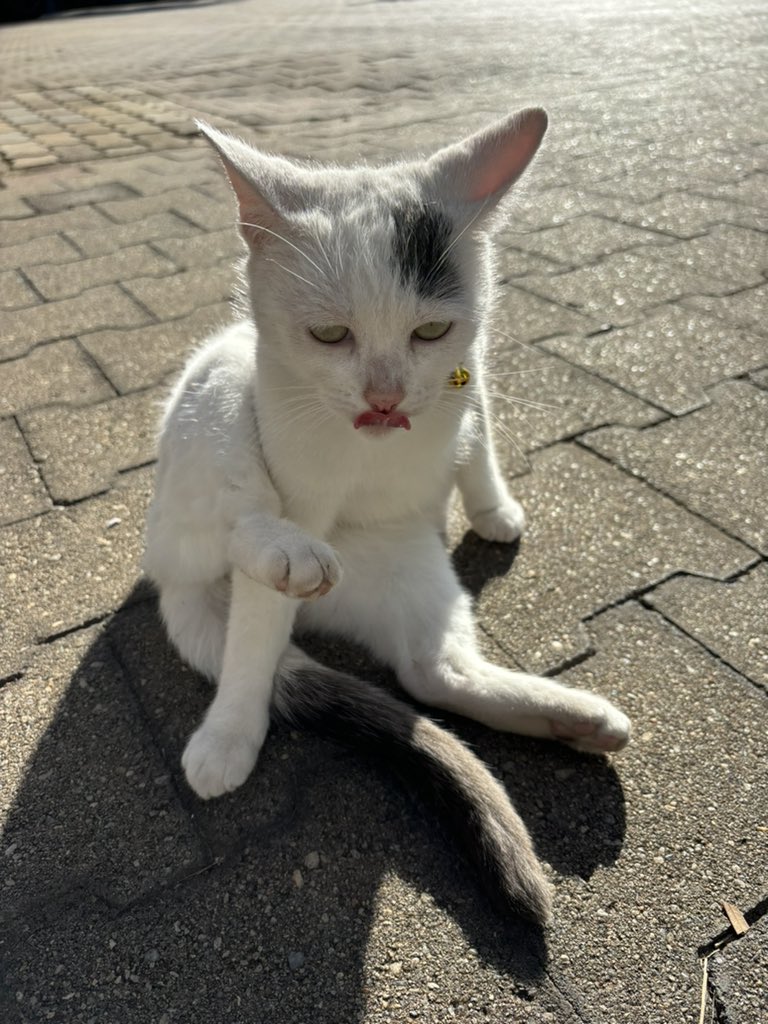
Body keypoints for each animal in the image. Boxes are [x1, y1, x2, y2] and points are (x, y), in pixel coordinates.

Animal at [144, 108, 630, 925]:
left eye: (430, 332)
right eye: (329, 335)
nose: (385, 397)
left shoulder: (473, 380)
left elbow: (477, 445)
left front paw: (494, 508)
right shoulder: (292, 464)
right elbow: (255, 629)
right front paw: (233, 726)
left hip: (408, 570)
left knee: (430, 674)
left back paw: (573, 718)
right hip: (217, 404)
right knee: (244, 547)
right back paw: (278, 589)